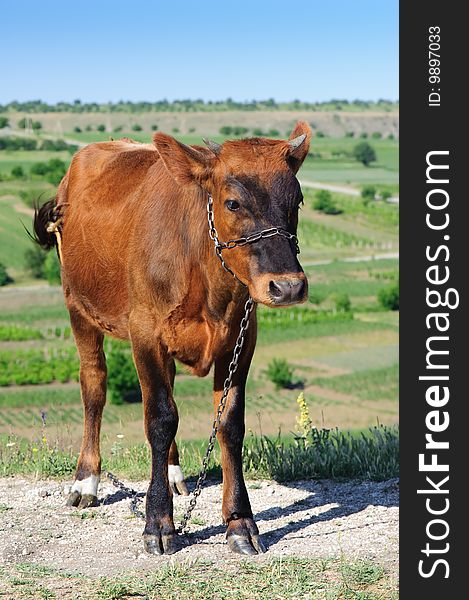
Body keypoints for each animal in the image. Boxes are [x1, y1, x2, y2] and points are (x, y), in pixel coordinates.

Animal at [33, 122, 310, 556]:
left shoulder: (242, 338)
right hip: (77, 307)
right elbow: (159, 419)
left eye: (296, 200)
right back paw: (86, 481)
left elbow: (229, 422)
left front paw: (239, 521)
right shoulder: (145, 334)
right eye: (232, 203)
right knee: (94, 386)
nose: (288, 286)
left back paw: (175, 473)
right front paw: (158, 522)